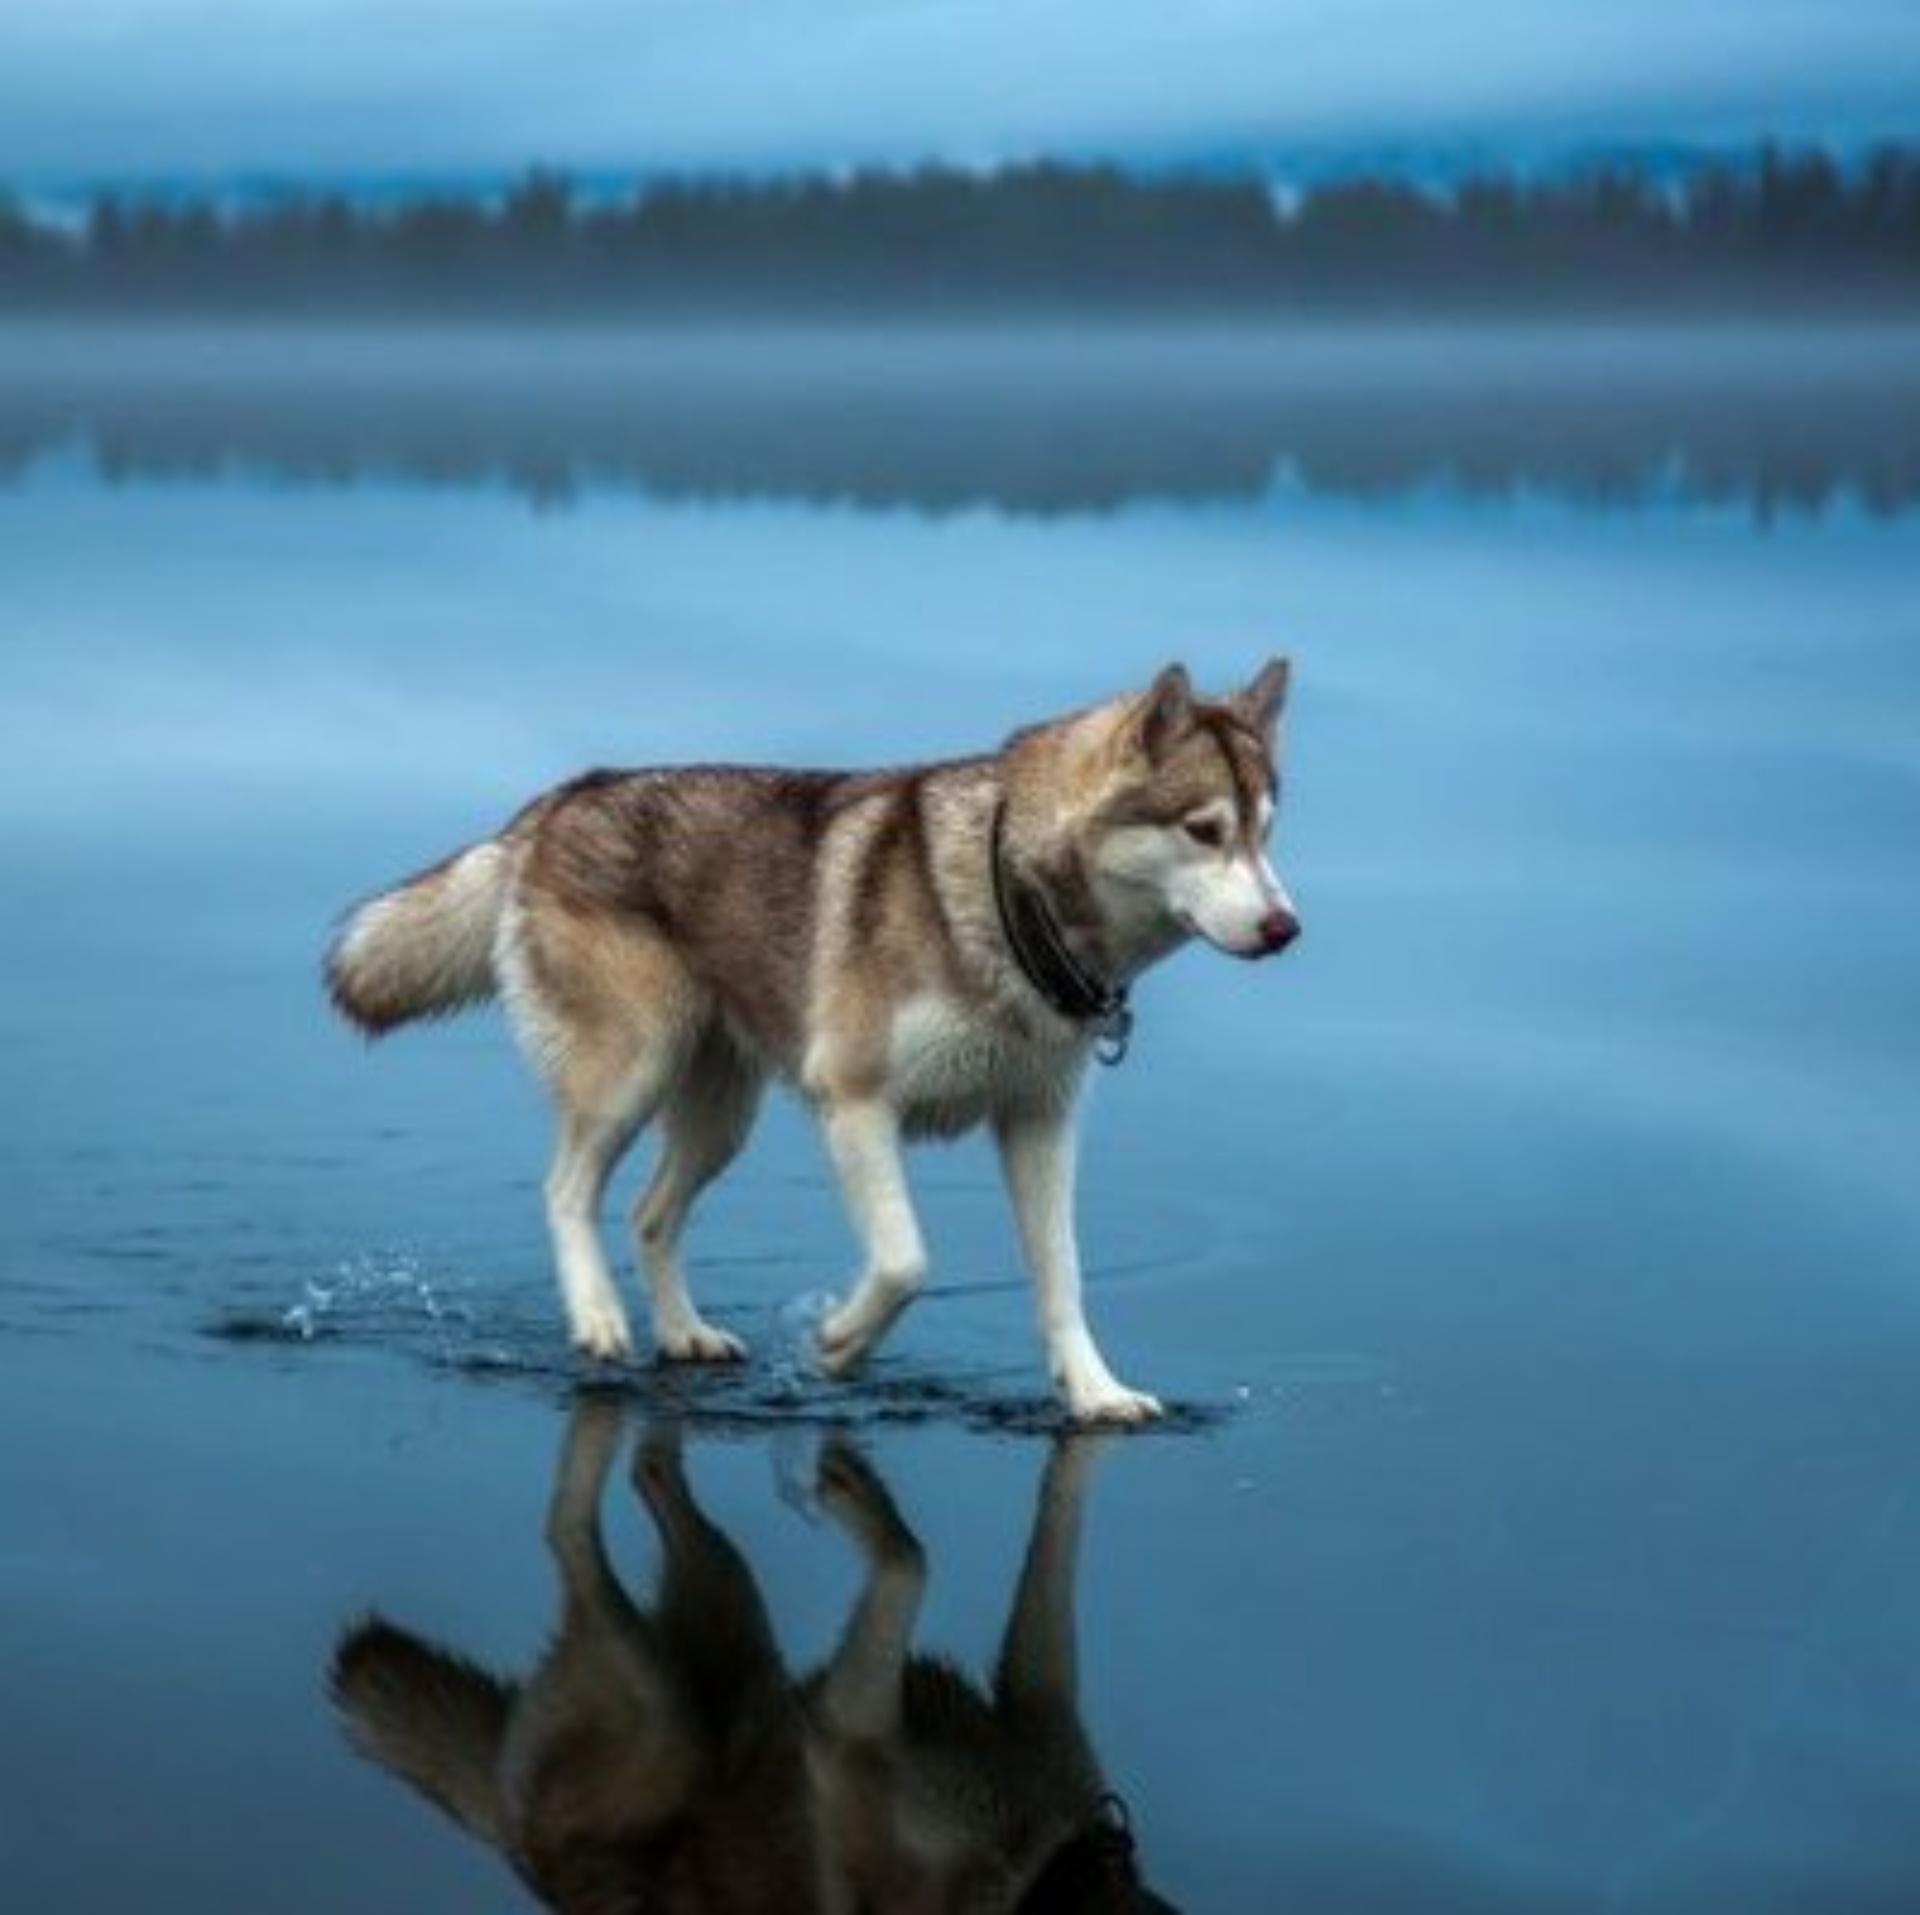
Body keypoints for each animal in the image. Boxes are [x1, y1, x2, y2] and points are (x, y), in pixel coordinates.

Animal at [330, 660, 1297, 1421]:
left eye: (1265, 832)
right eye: (1205, 830)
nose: (1287, 927)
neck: (1008, 901)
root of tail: (558, 799)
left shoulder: (1039, 1124)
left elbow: (1062, 1275)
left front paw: (1097, 1394)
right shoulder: (855, 1102)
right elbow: (906, 1260)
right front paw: (838, 1342)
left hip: (722, 1114)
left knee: (649, 1215)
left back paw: (683, 1334)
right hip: (631, 1072)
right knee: (566, 1189)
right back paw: (599, 1318)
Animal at [330, 1398, 1167, 1905]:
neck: (1043, 1871)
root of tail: (517, 1850)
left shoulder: (1040, 1698)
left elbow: (1057, 1527)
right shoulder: (847, 1732)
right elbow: (910, 1559)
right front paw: (852, 1494)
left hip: (730, 1624)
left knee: (649, 1474)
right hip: (663, 1704)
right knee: (566, 1528)